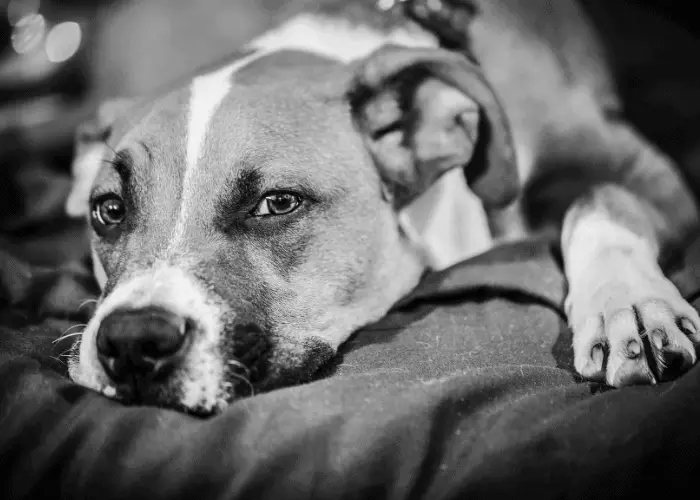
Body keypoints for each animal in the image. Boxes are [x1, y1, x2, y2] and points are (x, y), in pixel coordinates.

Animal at [63, 0, 700, 414]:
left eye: (277, 203)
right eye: (110, 210)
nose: (132, 341)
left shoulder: (649, 171)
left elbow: (601, 201)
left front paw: (628, 305)